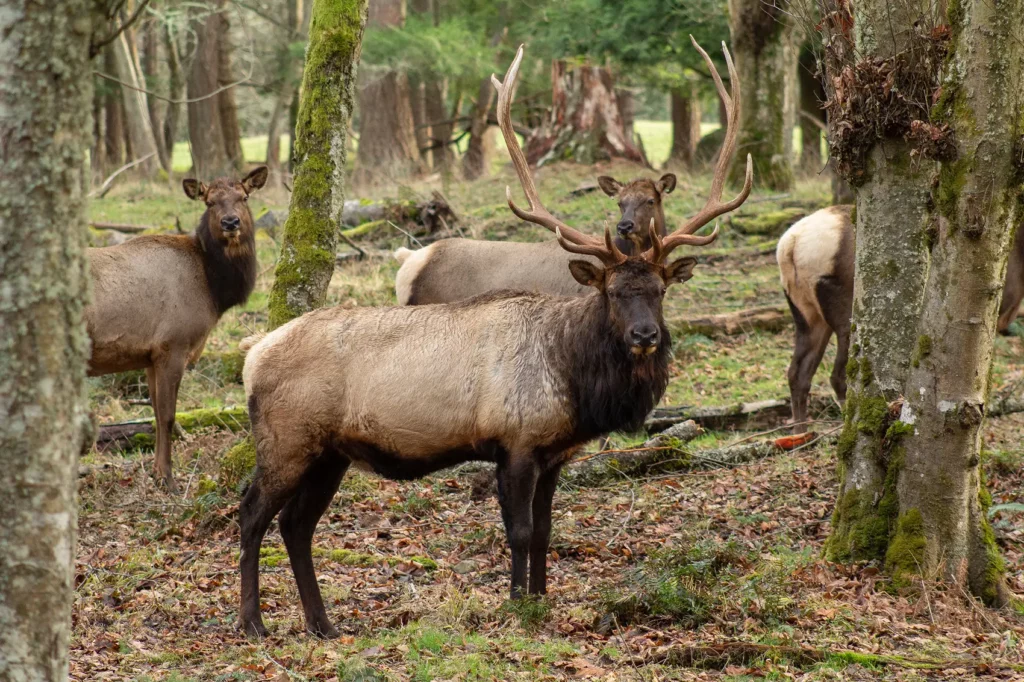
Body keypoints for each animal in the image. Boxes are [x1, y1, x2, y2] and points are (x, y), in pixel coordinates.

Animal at [86, 167, 267, 491]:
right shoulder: (174, 344)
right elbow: (169, 415)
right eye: (209, 201)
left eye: (244, 197)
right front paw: (168, 479)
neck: (214, 292)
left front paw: (156, 473)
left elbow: (156, 414)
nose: (230, 222)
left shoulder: (149, 355)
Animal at [778, 205, 1024, 432]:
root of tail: (790, 246)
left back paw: (800, 433)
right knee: (838, 376)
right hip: (845, 315)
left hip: (807, 316)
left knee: (797, 373)